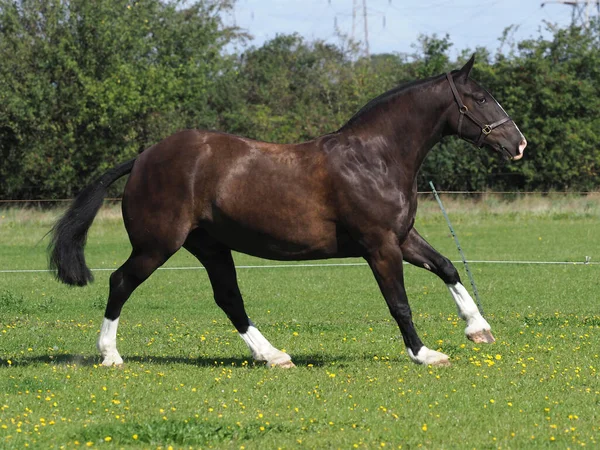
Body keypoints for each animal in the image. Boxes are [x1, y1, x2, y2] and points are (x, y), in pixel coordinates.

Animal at [49, 54, 524, 368]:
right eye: (480, 98)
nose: (518, 145)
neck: (374, 158)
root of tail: (143, 159)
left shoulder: (402, 237)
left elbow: (447, 267)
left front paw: (478, 329)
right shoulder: (380, 245)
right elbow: (399, 303)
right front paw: (425, 354)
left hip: (209, 246)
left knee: (229, 298)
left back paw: (273, 355)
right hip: (157, 245)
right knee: (121, 282)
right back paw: (110, 355)